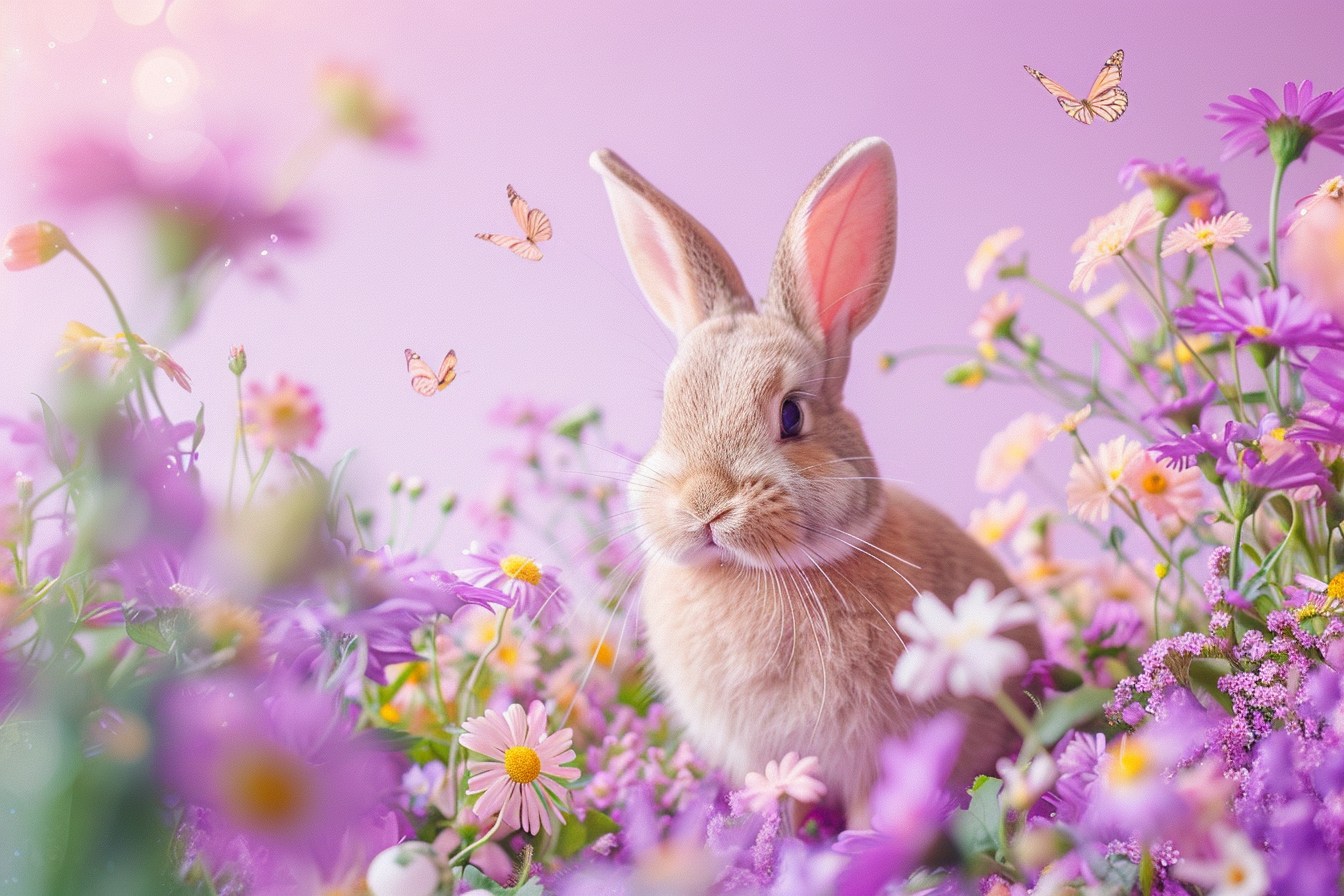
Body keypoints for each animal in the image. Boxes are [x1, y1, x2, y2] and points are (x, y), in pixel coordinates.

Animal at [589, 137, 1043, 829]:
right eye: (668, 408)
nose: (704, 505)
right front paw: (774, 837)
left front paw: (858, 844)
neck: (748, 576)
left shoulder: (875, 749)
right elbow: (784, 799)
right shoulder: (770, 757)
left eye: (791, 415)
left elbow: (863, 810)